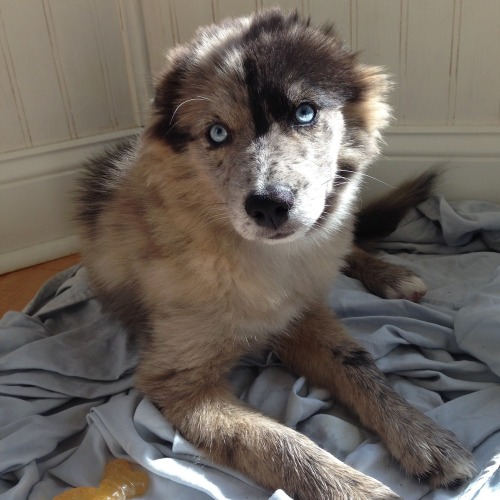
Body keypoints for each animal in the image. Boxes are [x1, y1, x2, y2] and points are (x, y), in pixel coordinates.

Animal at [76, 7, 474, 500]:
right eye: (216, 132)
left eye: (305, 113)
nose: (269, 205)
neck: (259, 258)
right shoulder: (177, 379)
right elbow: (277, 442)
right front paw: (360, 489)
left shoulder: (304, 313)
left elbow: (361, 366)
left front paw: (423, 436)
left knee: (347, 243)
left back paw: (390, 275)